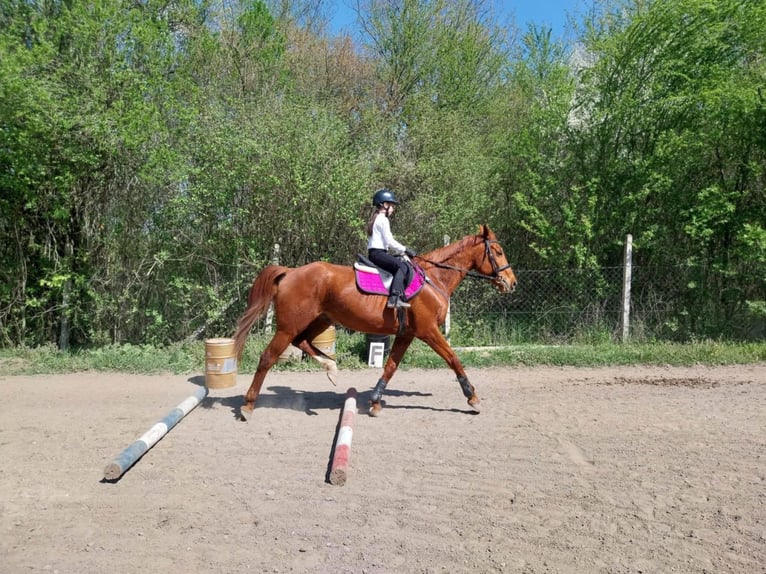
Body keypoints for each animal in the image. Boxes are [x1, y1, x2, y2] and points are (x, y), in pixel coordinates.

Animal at [232, 224, 517, 420]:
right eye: (499, 252)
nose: (512, 283)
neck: (434, 278)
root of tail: (290, 272)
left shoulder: (406, 334)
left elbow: (390, 367)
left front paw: (376, 402)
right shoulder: (428, 331)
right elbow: (454, 359)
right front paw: (473, 398)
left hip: (319, 320)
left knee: (302, 342)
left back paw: (331, 368)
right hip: (288, 326)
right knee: (268, 357)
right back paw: (248, 405)